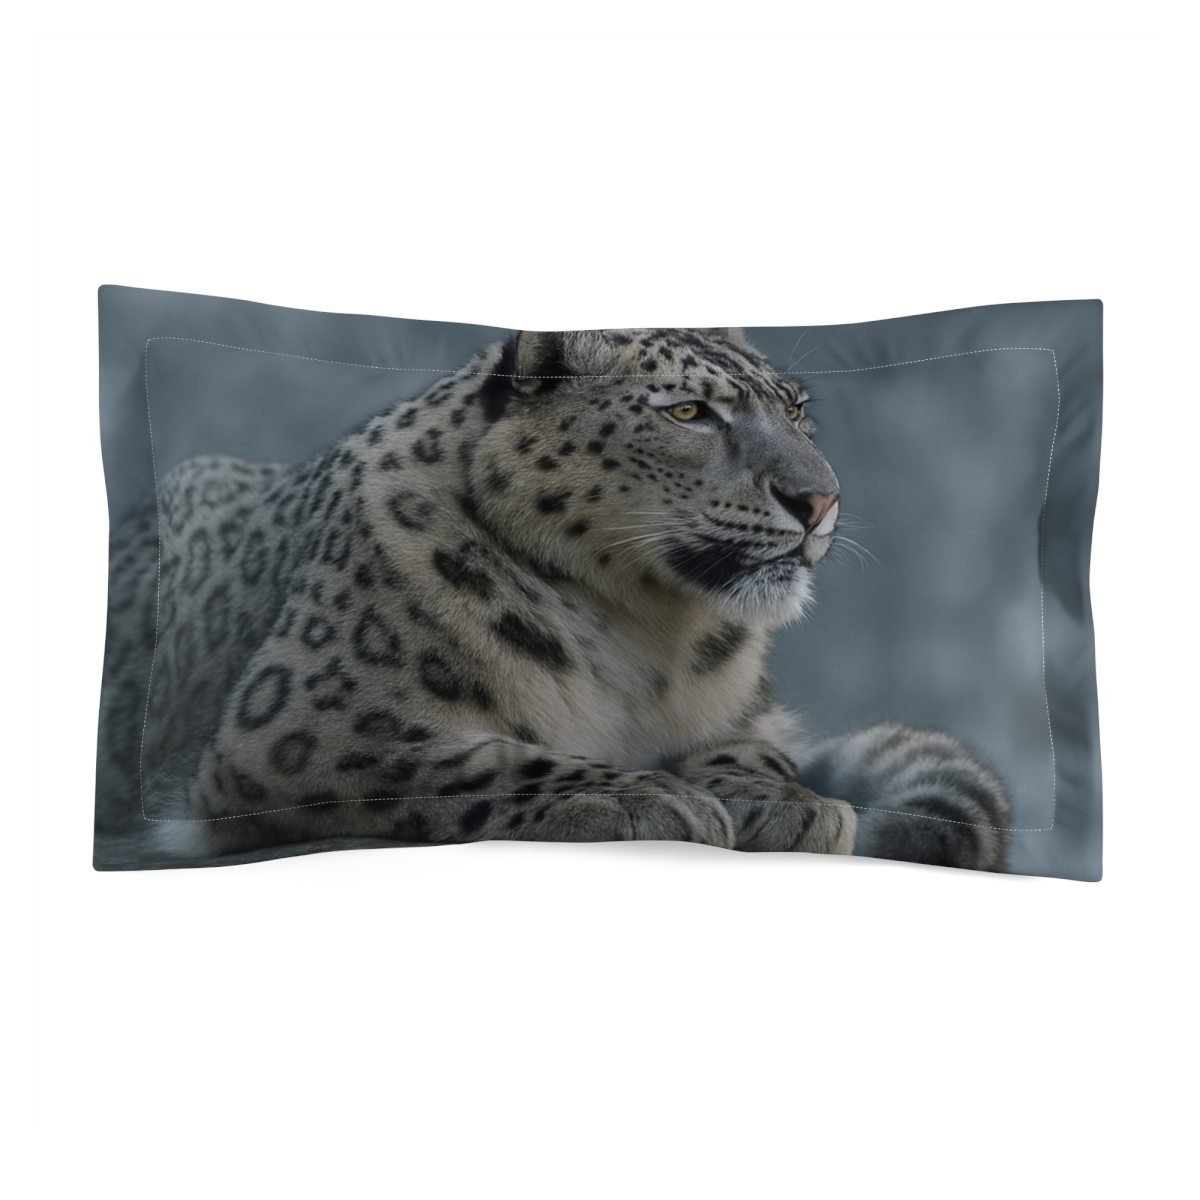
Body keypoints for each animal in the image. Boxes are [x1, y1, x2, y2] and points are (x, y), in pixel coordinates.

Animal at [96, 327, 1011, 869]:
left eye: (795, 411)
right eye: (690, 411)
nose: (819, 500)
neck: (648, 635)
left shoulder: (748, 718)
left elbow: (759, 750)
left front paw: (785, 804)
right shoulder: (303, 734)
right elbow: (486, 759)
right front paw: (646, 795)